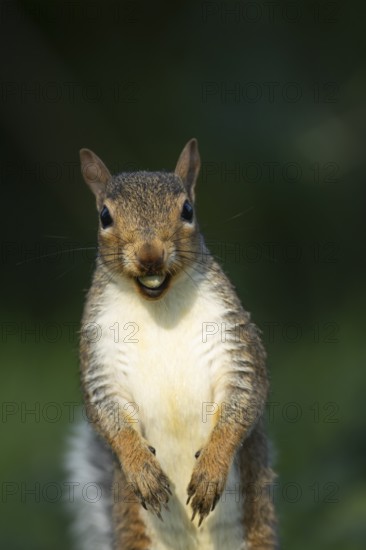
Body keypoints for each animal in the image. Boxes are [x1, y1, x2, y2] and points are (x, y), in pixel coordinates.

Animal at [67, 140, 278, 548]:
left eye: (188, 210)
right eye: (104, 216)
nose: (150, 255)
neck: (158, 308)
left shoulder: (232, 342)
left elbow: (243, 398)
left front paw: (211, 470)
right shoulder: (101, 355)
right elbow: (109, 413)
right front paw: (142, 470)